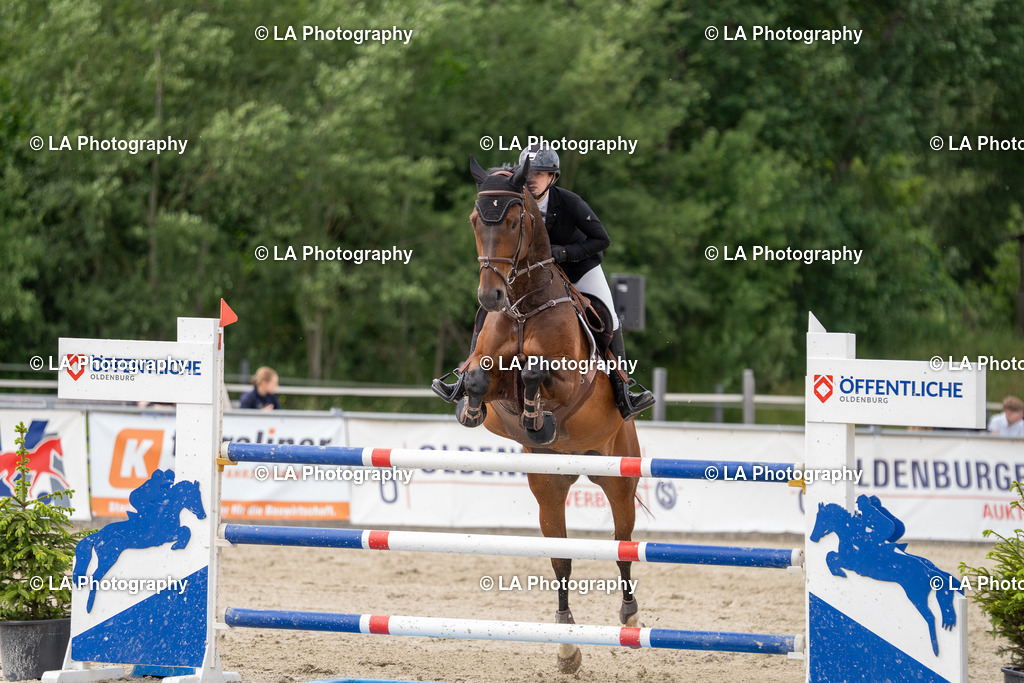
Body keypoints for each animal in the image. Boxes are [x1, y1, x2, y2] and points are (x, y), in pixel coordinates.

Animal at [73, 470, 206, 612]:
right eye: (195, 497)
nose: (203, 515)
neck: (167, 510)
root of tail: (97, 535)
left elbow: (185, 530)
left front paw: (178, 545)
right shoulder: (166, 535)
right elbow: (185, 530)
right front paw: (177, 546)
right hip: (108, 558)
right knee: (95, 578)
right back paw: (89, 607)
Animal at [453, 155, 643, 673]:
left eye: (516, 222)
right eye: (476, 220)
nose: (491, 298)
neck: (525, 305)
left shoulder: (569, 379)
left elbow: (537, 372)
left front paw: (539, 414)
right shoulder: (493, 379)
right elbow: (479, 379)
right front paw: (473, 408)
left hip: (619, 473)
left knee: (623, 544)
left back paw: (629, 615)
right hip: (548, 486)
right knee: (561, 560)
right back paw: (566, 645)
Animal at [810, 496, 959, 655]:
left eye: (822, 519)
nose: (812, 538)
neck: (851, 535)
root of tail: (929, 573)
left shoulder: (850, 562)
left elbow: (830, 556)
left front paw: (839, 572)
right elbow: (830, 555)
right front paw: (838, 572)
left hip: (916, 596)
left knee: (931, 617)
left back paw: (935, 649)